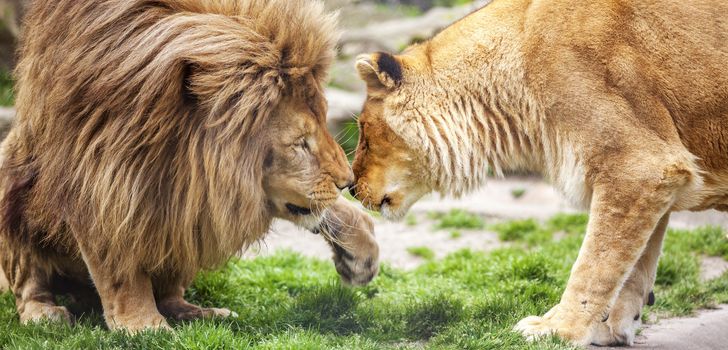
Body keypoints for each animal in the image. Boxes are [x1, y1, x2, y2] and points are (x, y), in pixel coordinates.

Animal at [1, 0, 382, 332]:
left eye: (324, 122)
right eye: (300, 143)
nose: (347, 182)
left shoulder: (211, 187)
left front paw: (359, 250)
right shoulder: (98, 172)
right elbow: (119, 263)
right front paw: (143, 326)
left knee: (172, 288)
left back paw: (201, 313)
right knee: (28, 282)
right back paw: (43, 312)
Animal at [350, 0, 724, 344]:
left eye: (365, 132)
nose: (352, 188)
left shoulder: (640, 165)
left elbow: (596, 263)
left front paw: (558, 329)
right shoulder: (653, 175)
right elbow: (634, 265)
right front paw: (612, 329)